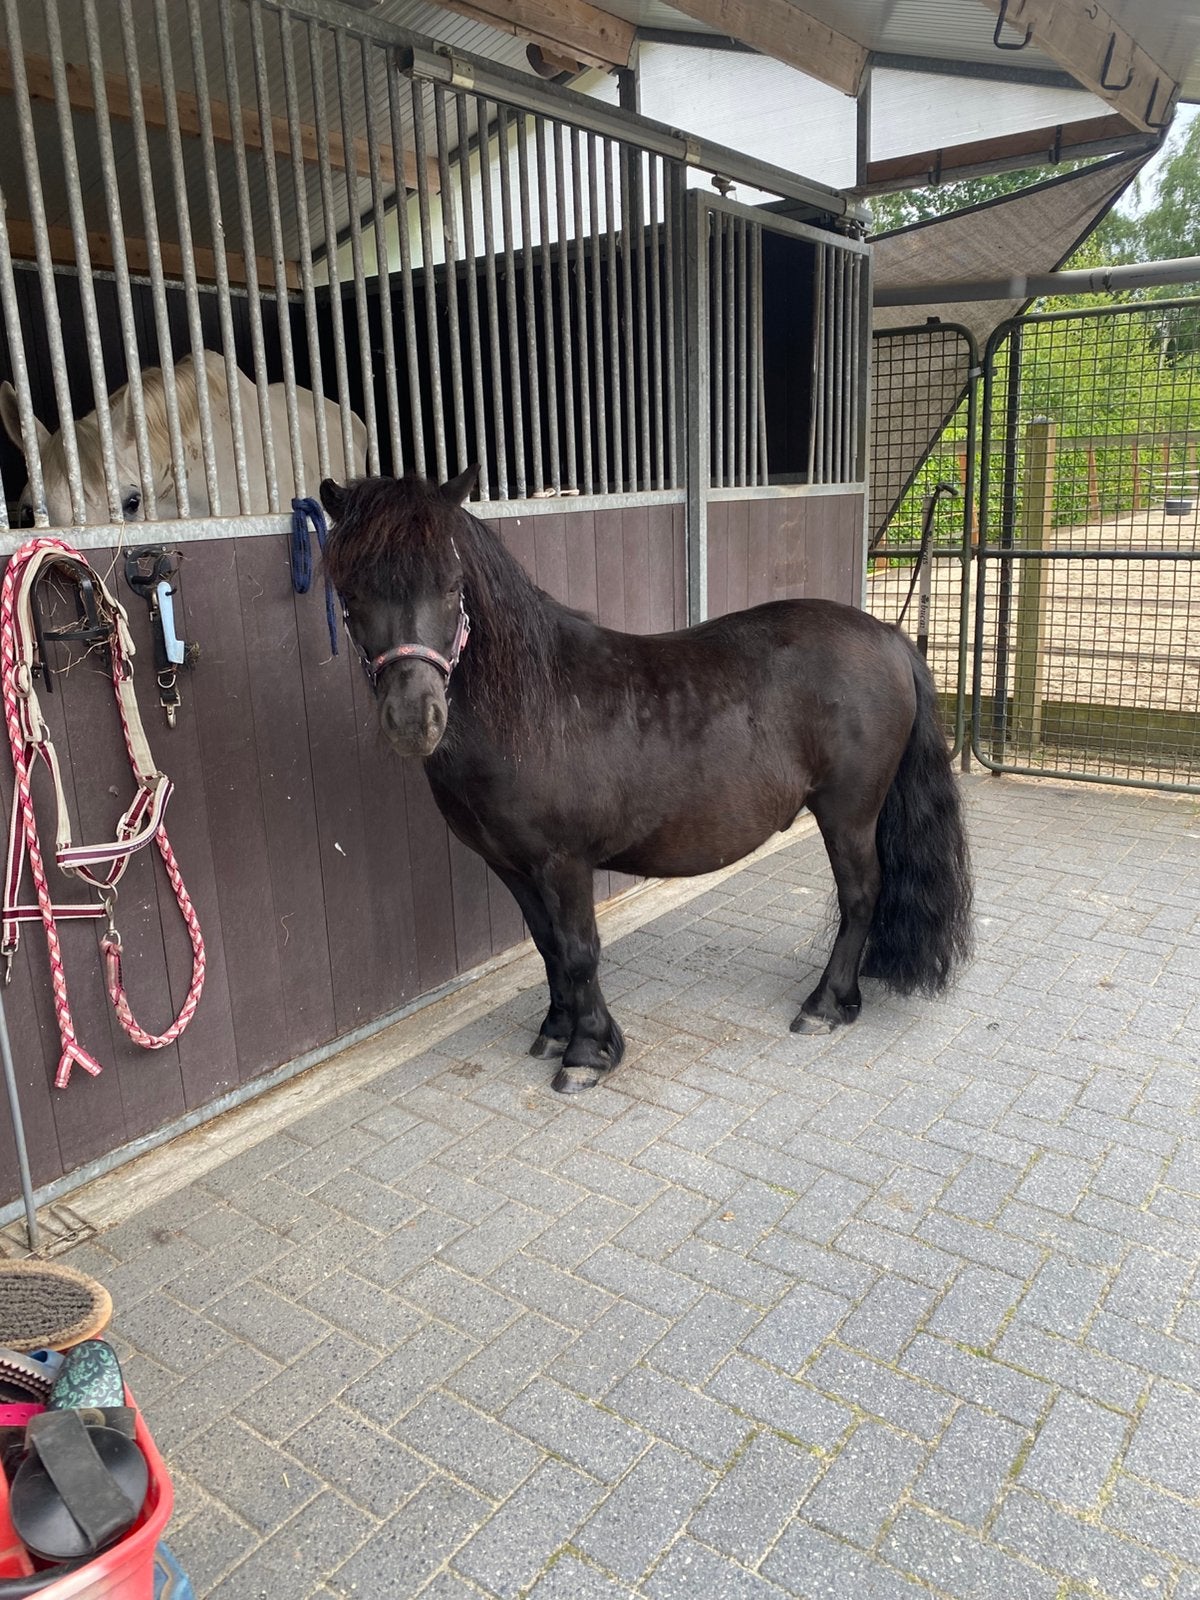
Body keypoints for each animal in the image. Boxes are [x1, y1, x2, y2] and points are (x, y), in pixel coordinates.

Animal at [320, 469, 974, 1094]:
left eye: (453, 587)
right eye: (349, 592)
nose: (415, 719)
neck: (532, 708)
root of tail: (889, 638)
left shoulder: (564, 862)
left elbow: (579, 951)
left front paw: (588, 1053)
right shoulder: (511, 865)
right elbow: (547, 944)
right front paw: (556, 1029)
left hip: (849, 814)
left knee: (861, 894)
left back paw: (825, 1004)